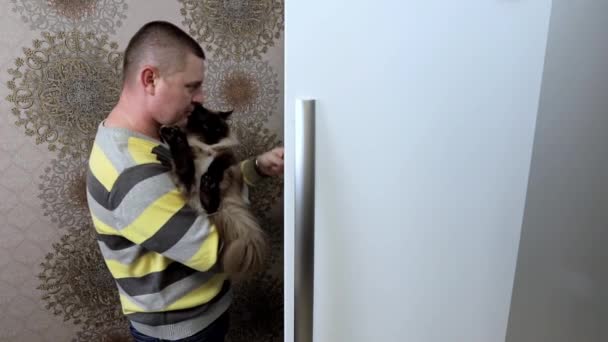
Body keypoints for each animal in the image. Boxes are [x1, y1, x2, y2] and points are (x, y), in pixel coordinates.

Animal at [159, 105, 268, 276]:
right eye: (205, 126)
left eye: (217, 129)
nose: (211, 138)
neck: (206, 147)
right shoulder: (197, 152)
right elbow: (189, 155)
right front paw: (172, 134)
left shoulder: (226, 156)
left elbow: (215, 165)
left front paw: (209, 176)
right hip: (188, 182)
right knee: (185, 170)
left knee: (210, 205)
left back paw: (207, 185)